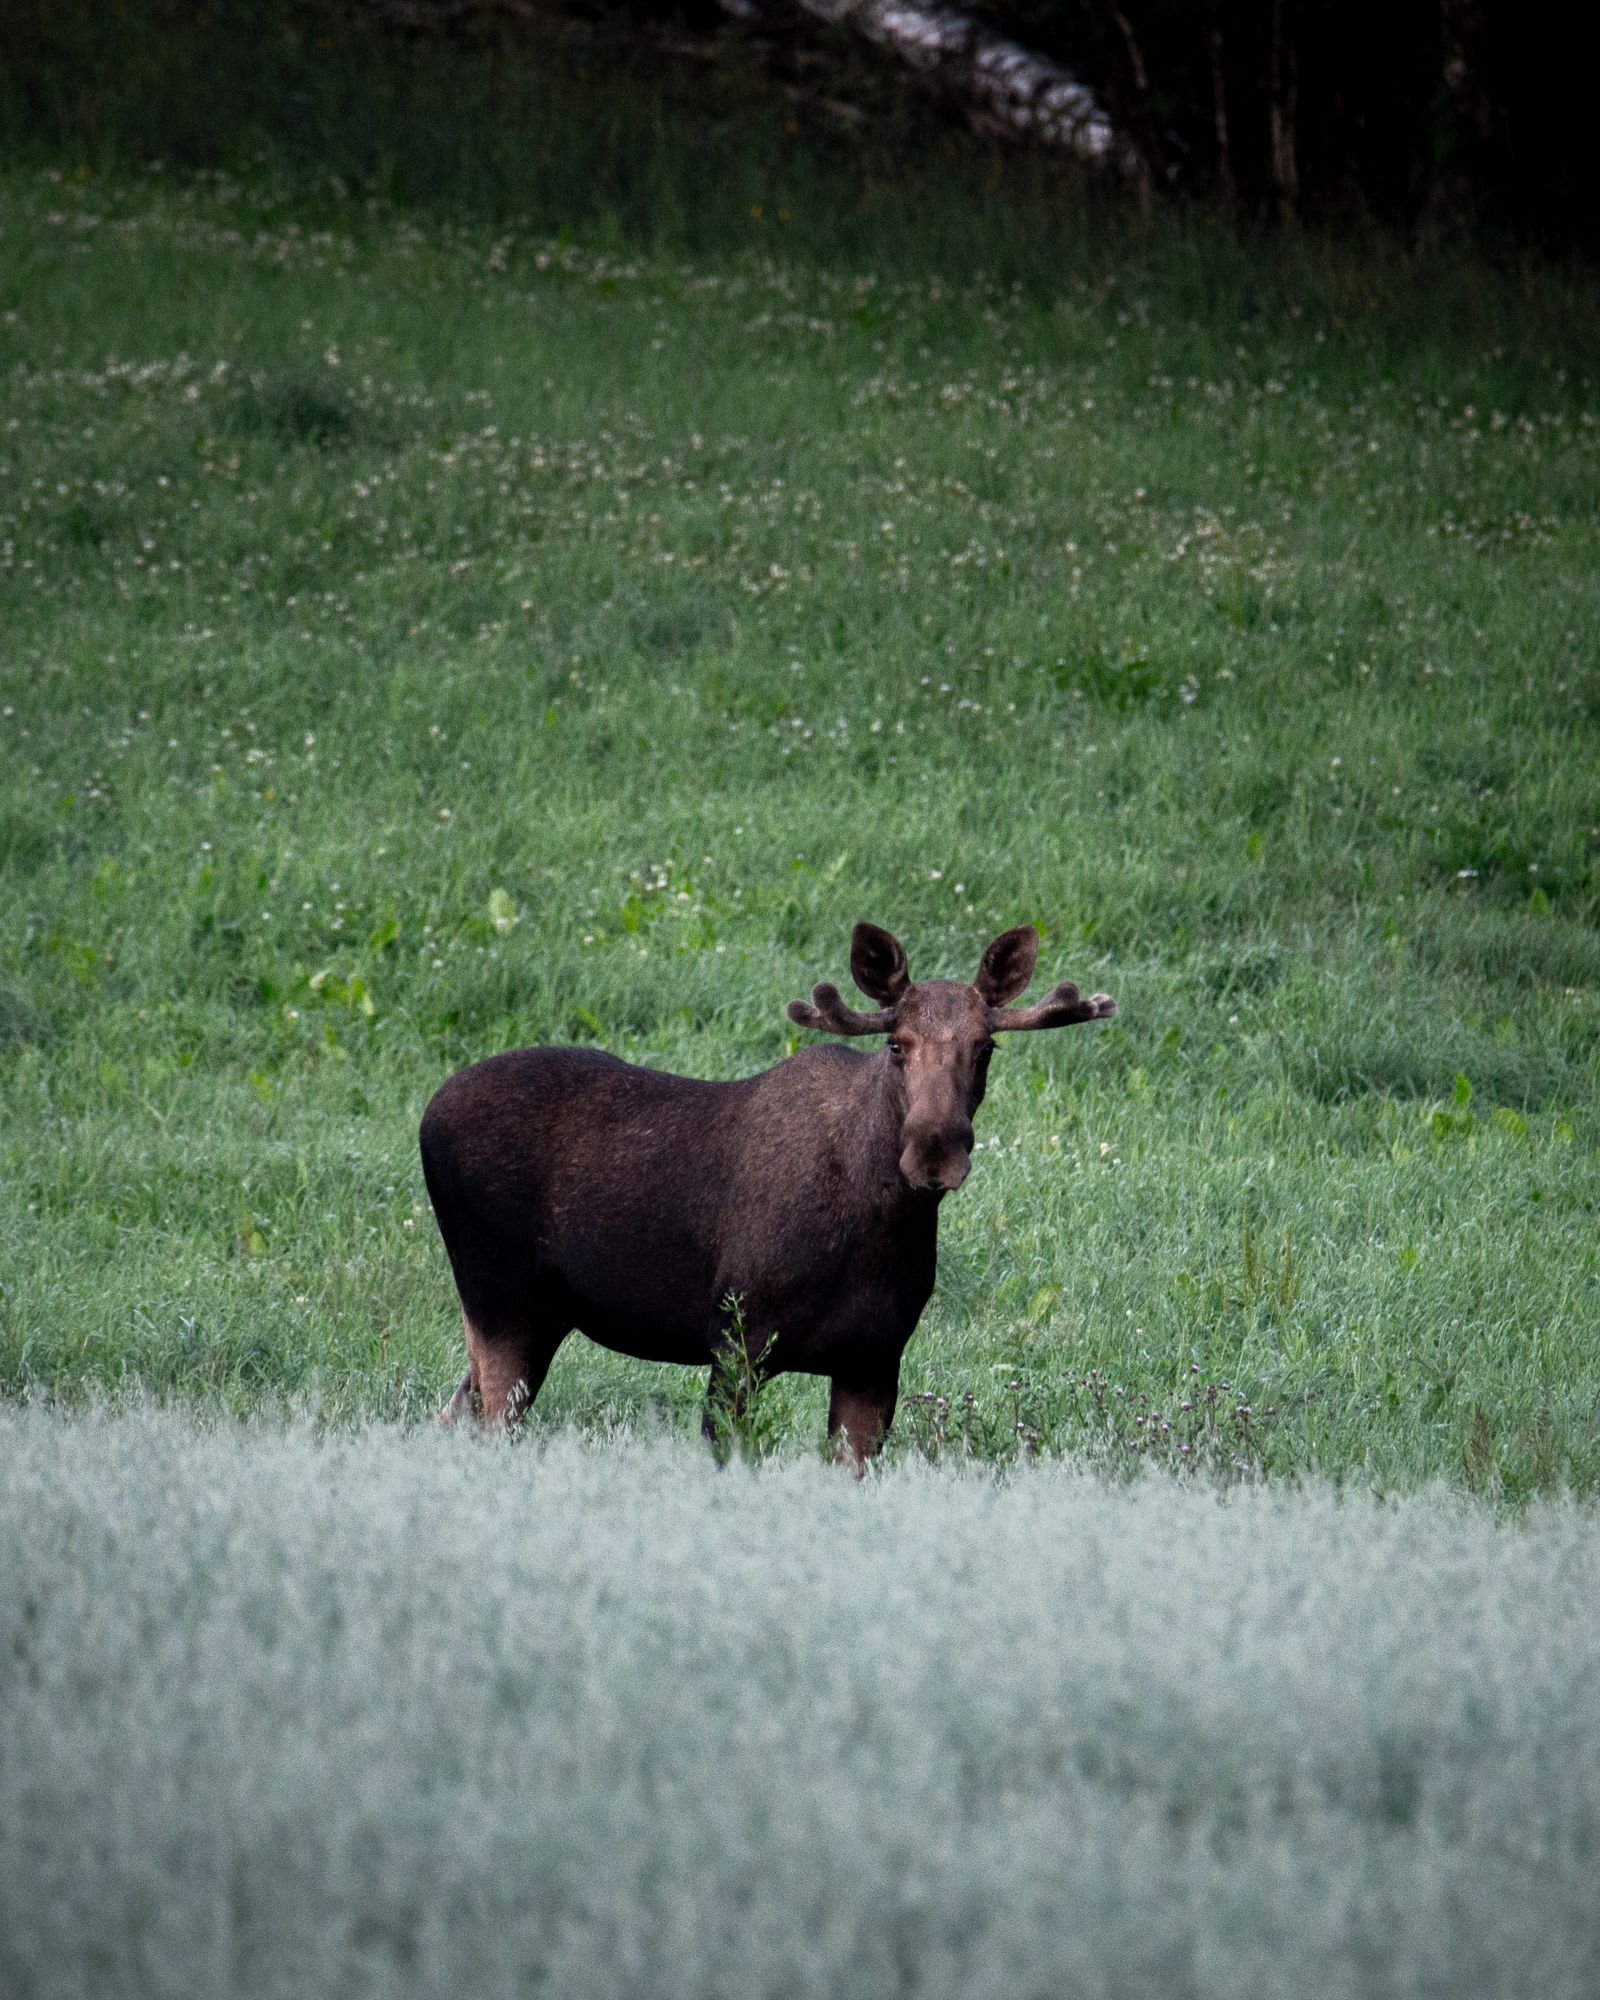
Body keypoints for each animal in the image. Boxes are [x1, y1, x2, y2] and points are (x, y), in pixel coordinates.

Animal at [420, 922, 1114, 1465]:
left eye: (985, 1047)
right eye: (897, 1045)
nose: (935, 1152)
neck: (879, 1224)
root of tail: (427, 1115)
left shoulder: (874, 1359)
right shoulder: (736, 1340)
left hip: (539, 1314)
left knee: (451, 1415)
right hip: (497, 1296)